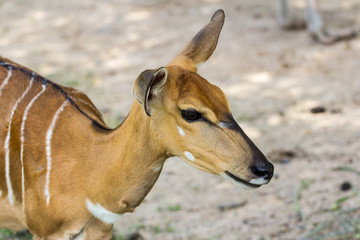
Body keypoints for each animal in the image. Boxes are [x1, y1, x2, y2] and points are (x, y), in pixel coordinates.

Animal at [0, 10, 272, 239]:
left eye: (224, 98)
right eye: (191, 113)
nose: (265, 169)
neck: (88, 166)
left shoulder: (101, 227)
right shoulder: (45, 230)